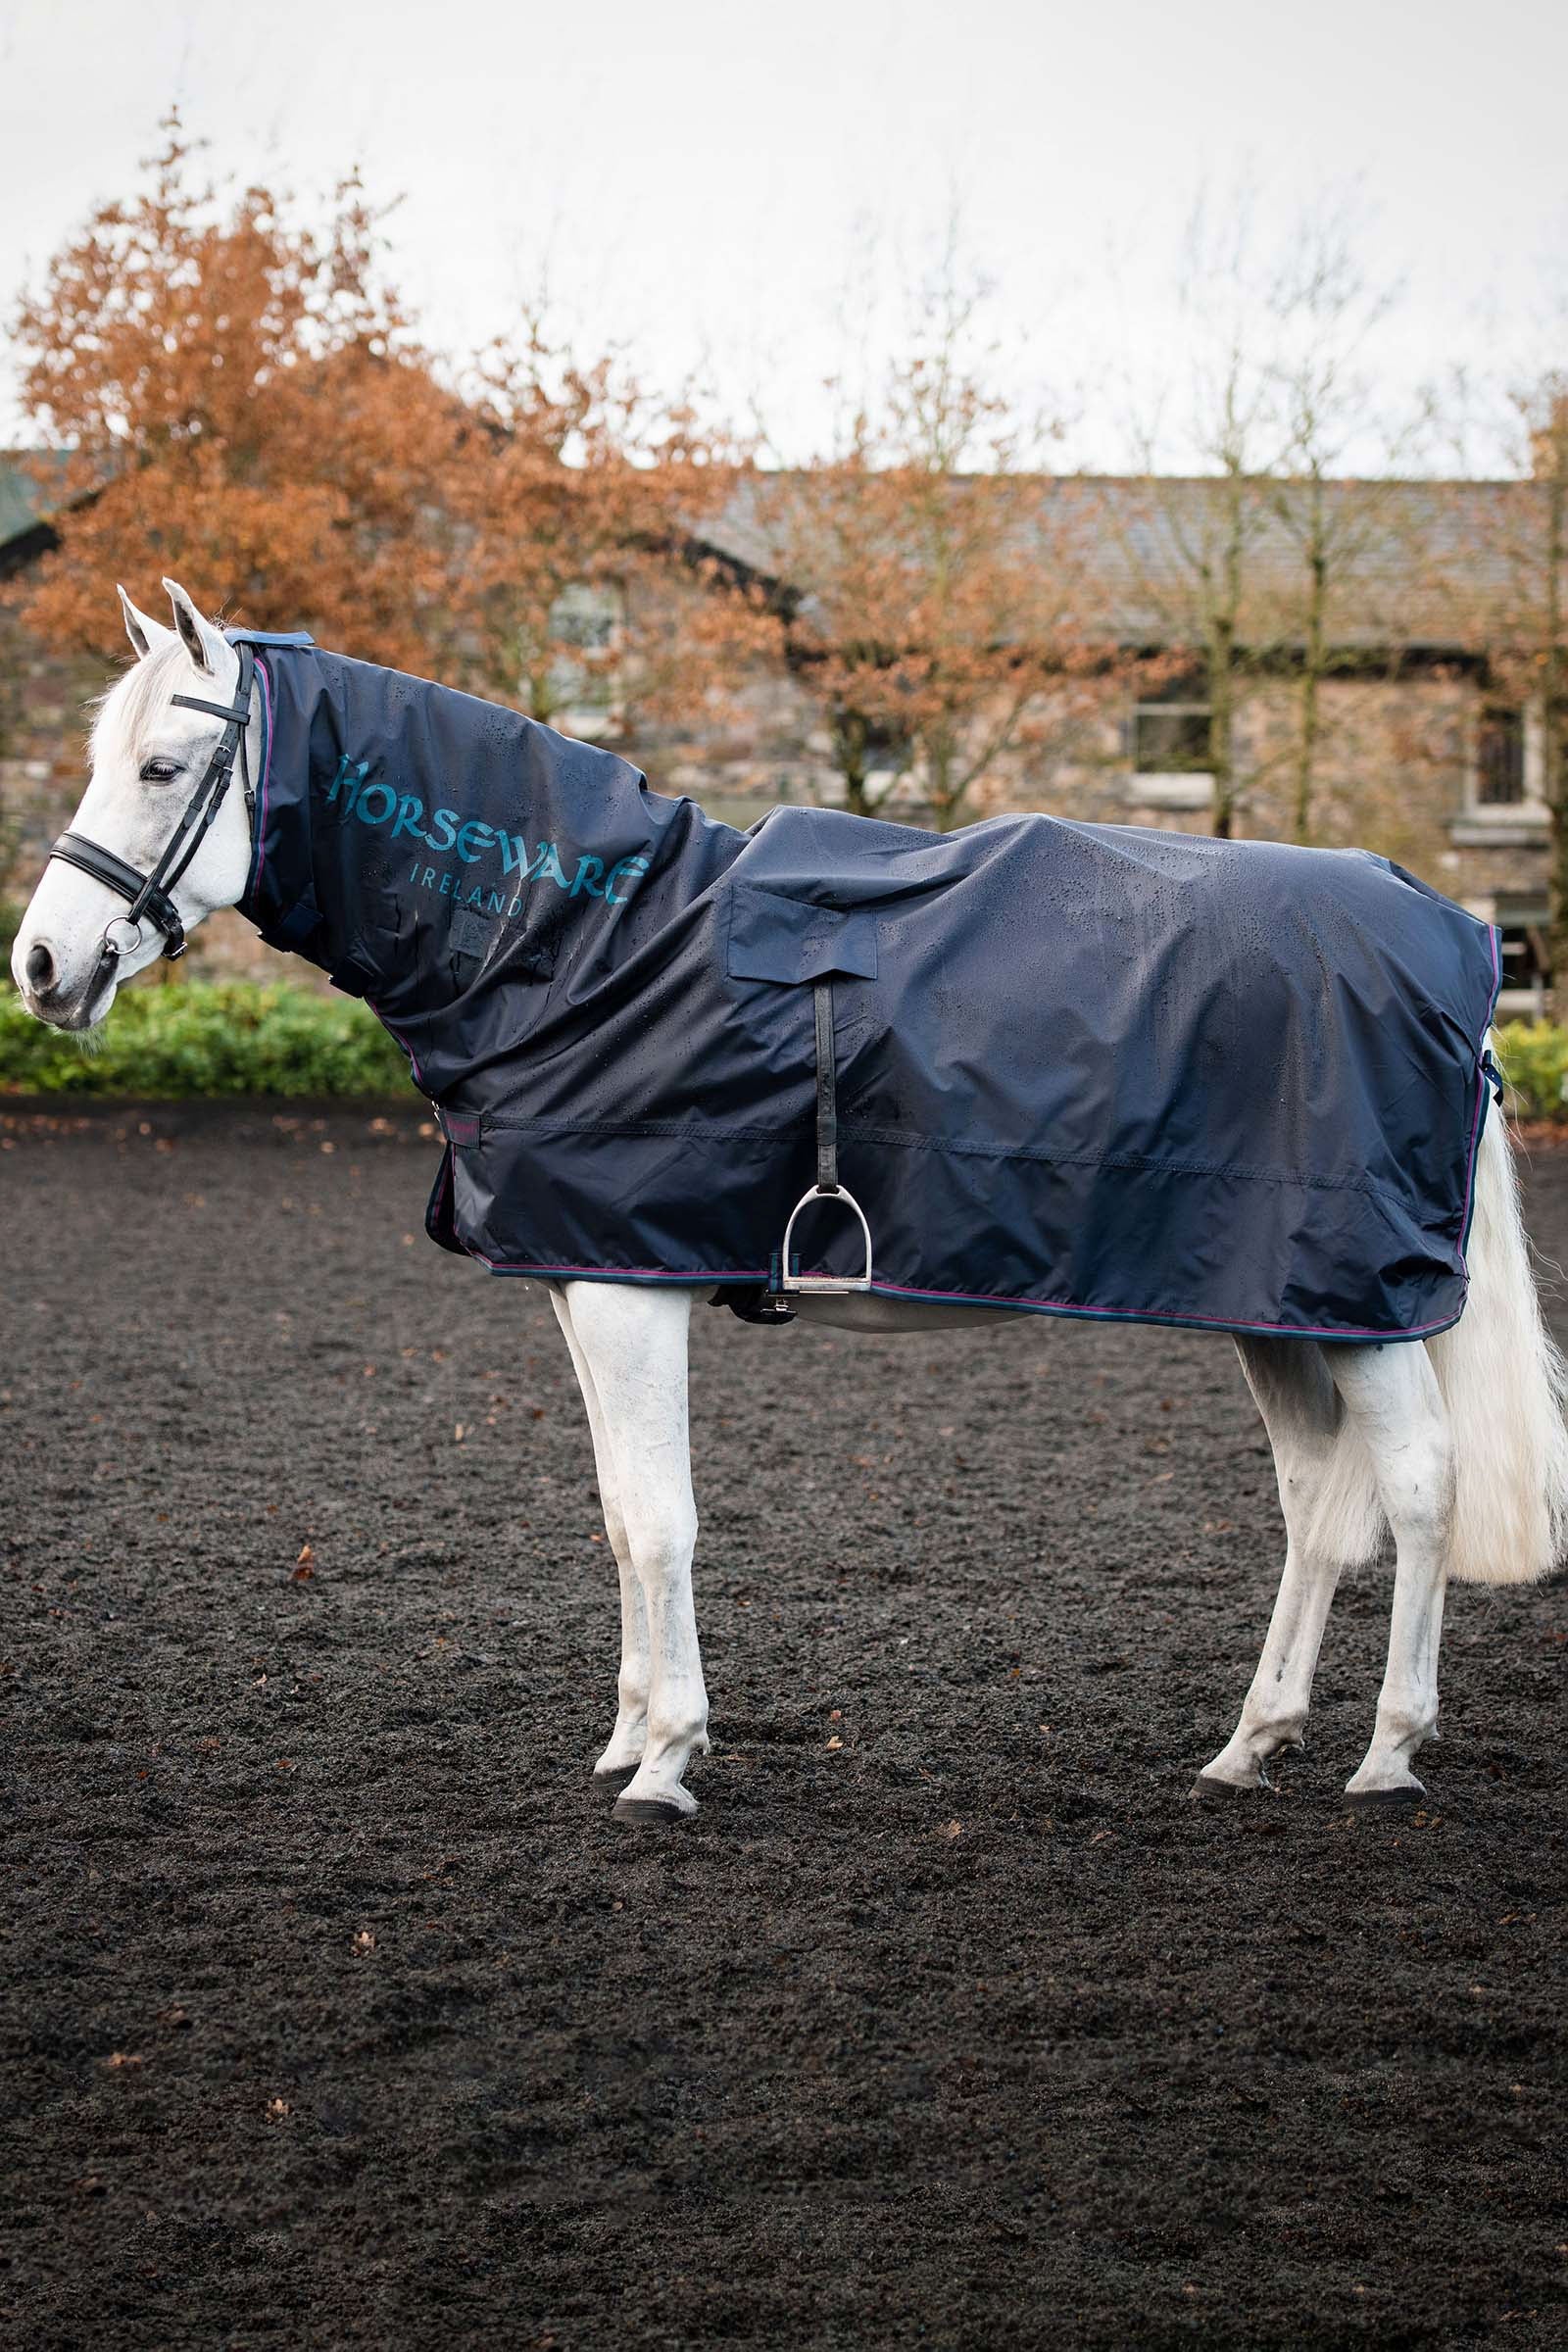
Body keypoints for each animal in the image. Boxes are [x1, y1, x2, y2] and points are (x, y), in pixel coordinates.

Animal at [12, 578, 1568, 1827]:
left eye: (161, 766)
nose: (39, 964)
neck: (592, 942)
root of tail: (1449, 942)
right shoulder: (583, 1282)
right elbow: (615, 1514)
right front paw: (626, 1735)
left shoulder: (633, 1292)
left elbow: (661, 1521)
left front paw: (666, 1763)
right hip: (1283, 1303)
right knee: (1316, 1502)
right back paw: (1252, 1744)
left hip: (1364, 1307)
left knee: (1418, 1491)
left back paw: (1386, 1754)